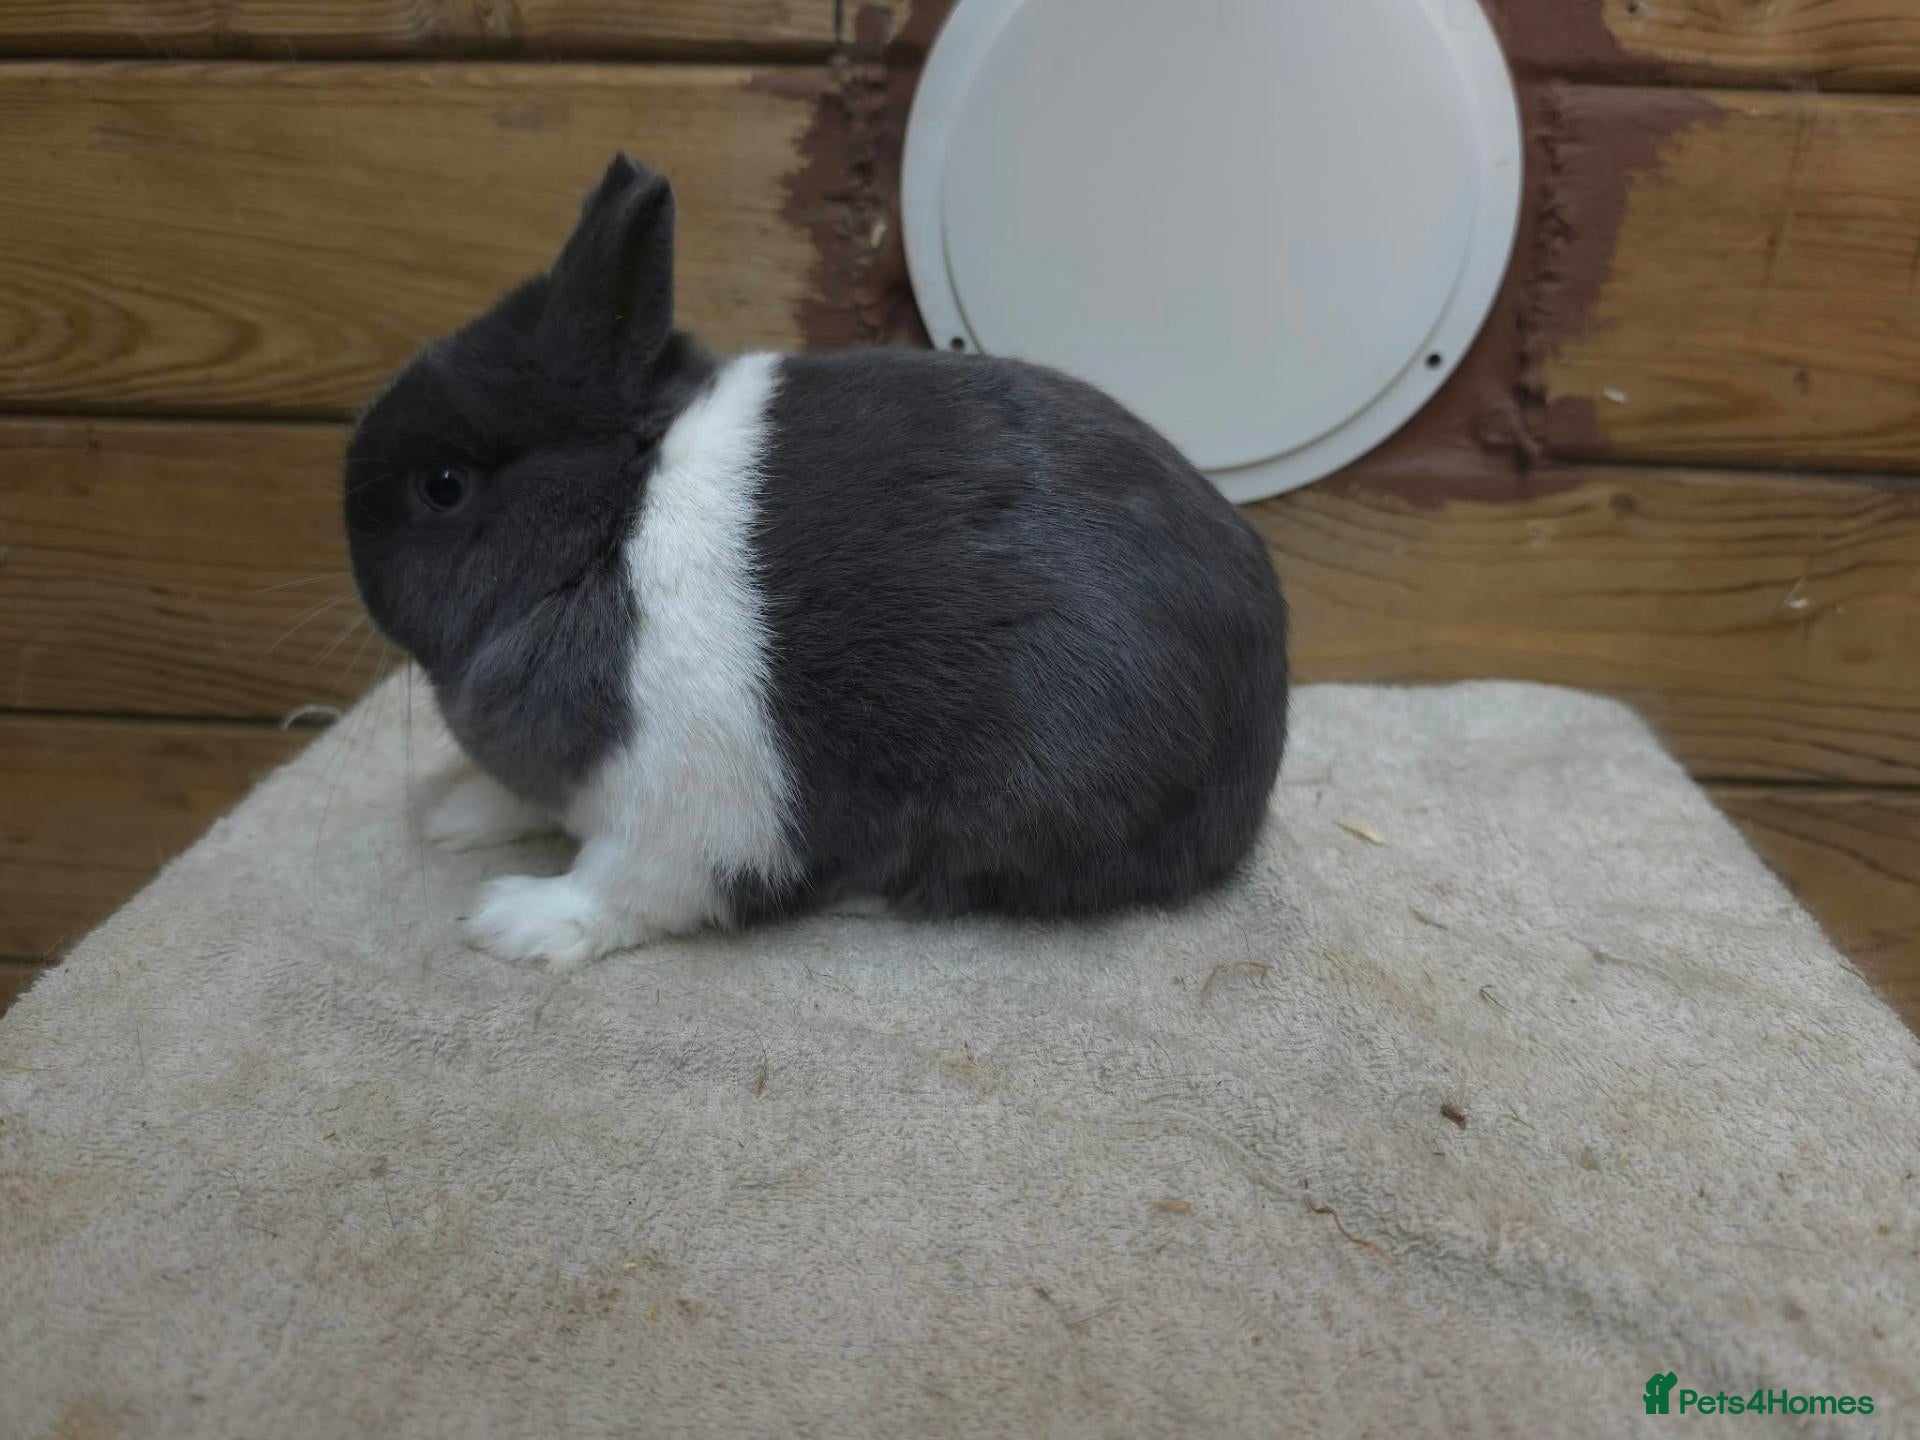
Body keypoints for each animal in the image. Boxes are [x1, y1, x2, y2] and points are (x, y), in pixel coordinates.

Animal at [344, 154, 1288, 970]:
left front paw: (513, 922)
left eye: (442, 486)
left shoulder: (676, 808)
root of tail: (1259, 740)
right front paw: (456, 815)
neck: (611, 525)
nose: (353, 545)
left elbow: (620, 891)